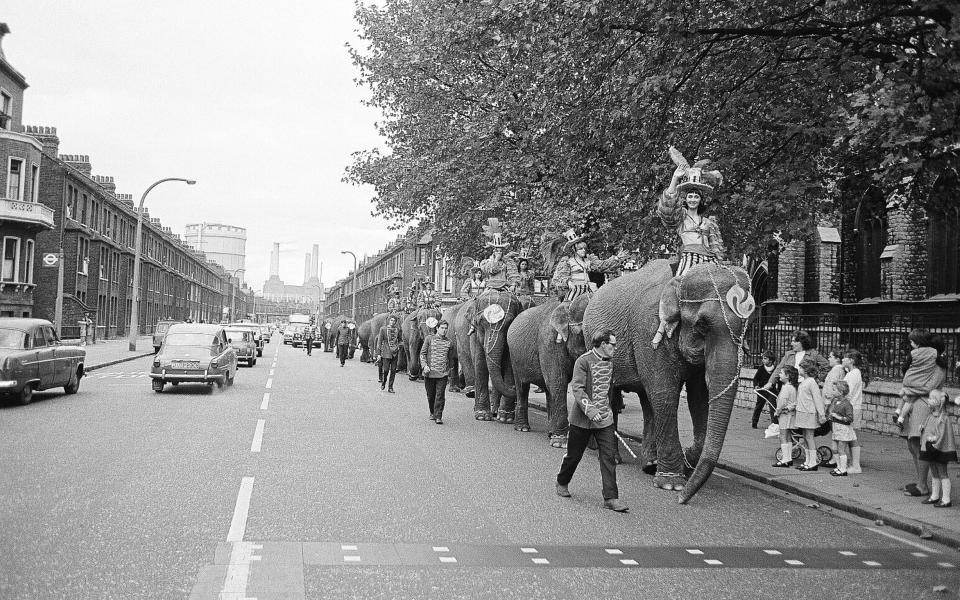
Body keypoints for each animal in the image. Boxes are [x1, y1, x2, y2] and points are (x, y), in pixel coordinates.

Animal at [468, 288, 520, 420]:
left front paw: (506, 418)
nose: (514, 387)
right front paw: (482, 416)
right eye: (481, 323)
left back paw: (495, 411)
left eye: (509, 323)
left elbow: (509, 365)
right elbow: (480, 363)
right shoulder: (477, 337)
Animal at [580, 260, 752, 504]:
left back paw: (650, 463)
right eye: (702, 324)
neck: (678, 280)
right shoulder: (647, 330)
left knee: (647, 399)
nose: (682, 501)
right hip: (592, 342)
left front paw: (685, 463)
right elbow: (665, 394)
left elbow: (699, 398)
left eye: (747, 325)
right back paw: (615, 459)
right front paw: (672, 484)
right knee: (614, 395)